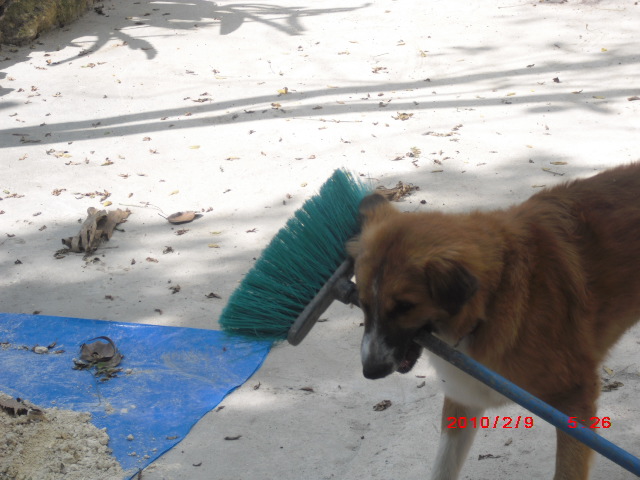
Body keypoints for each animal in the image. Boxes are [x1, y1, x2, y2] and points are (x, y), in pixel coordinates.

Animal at [347, 163, 640, 480]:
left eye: (404, 307)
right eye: (363, 303)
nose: (370, 372)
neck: (492, 296)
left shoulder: (576, 398)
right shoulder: (464, 396)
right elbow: (443, 466)